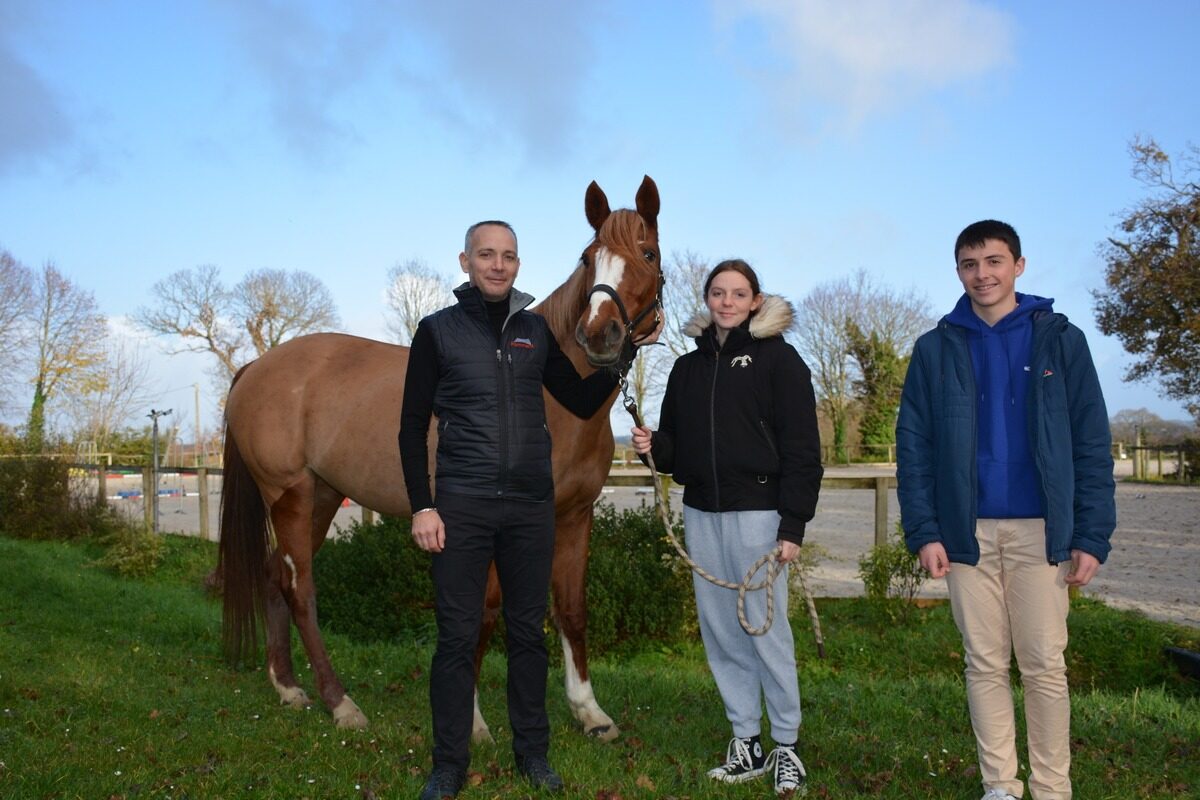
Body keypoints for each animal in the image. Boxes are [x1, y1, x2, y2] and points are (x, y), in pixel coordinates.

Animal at [220, 175, 662, 738]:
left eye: (647, 254)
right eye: (588, 258)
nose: (599, 334)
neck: (554, 400)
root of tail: (256, 367)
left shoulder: (574, 516)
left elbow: (570, 608)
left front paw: (589, 712)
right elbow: (486, 613)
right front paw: (471, 720)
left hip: (320, 496)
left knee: (278, 577)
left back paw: (288, 687)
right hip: (290, 496)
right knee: (302, 590)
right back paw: (340, 703)